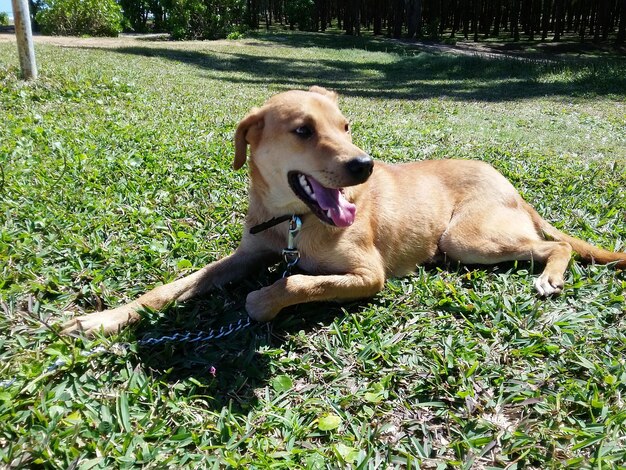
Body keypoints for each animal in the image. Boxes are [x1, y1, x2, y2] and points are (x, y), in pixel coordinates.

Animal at [59, 86, 624, 336]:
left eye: (346, 126)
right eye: (303, 131)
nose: (365, 166)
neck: (293, 220)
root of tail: (509, 183)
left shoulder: (368, 275)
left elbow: (291, 283)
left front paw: (260, 301)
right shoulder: (245, 255)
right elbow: (169, 288)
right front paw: (101, 320)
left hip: (466, 238)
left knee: (556, 243)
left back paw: (549, 275)